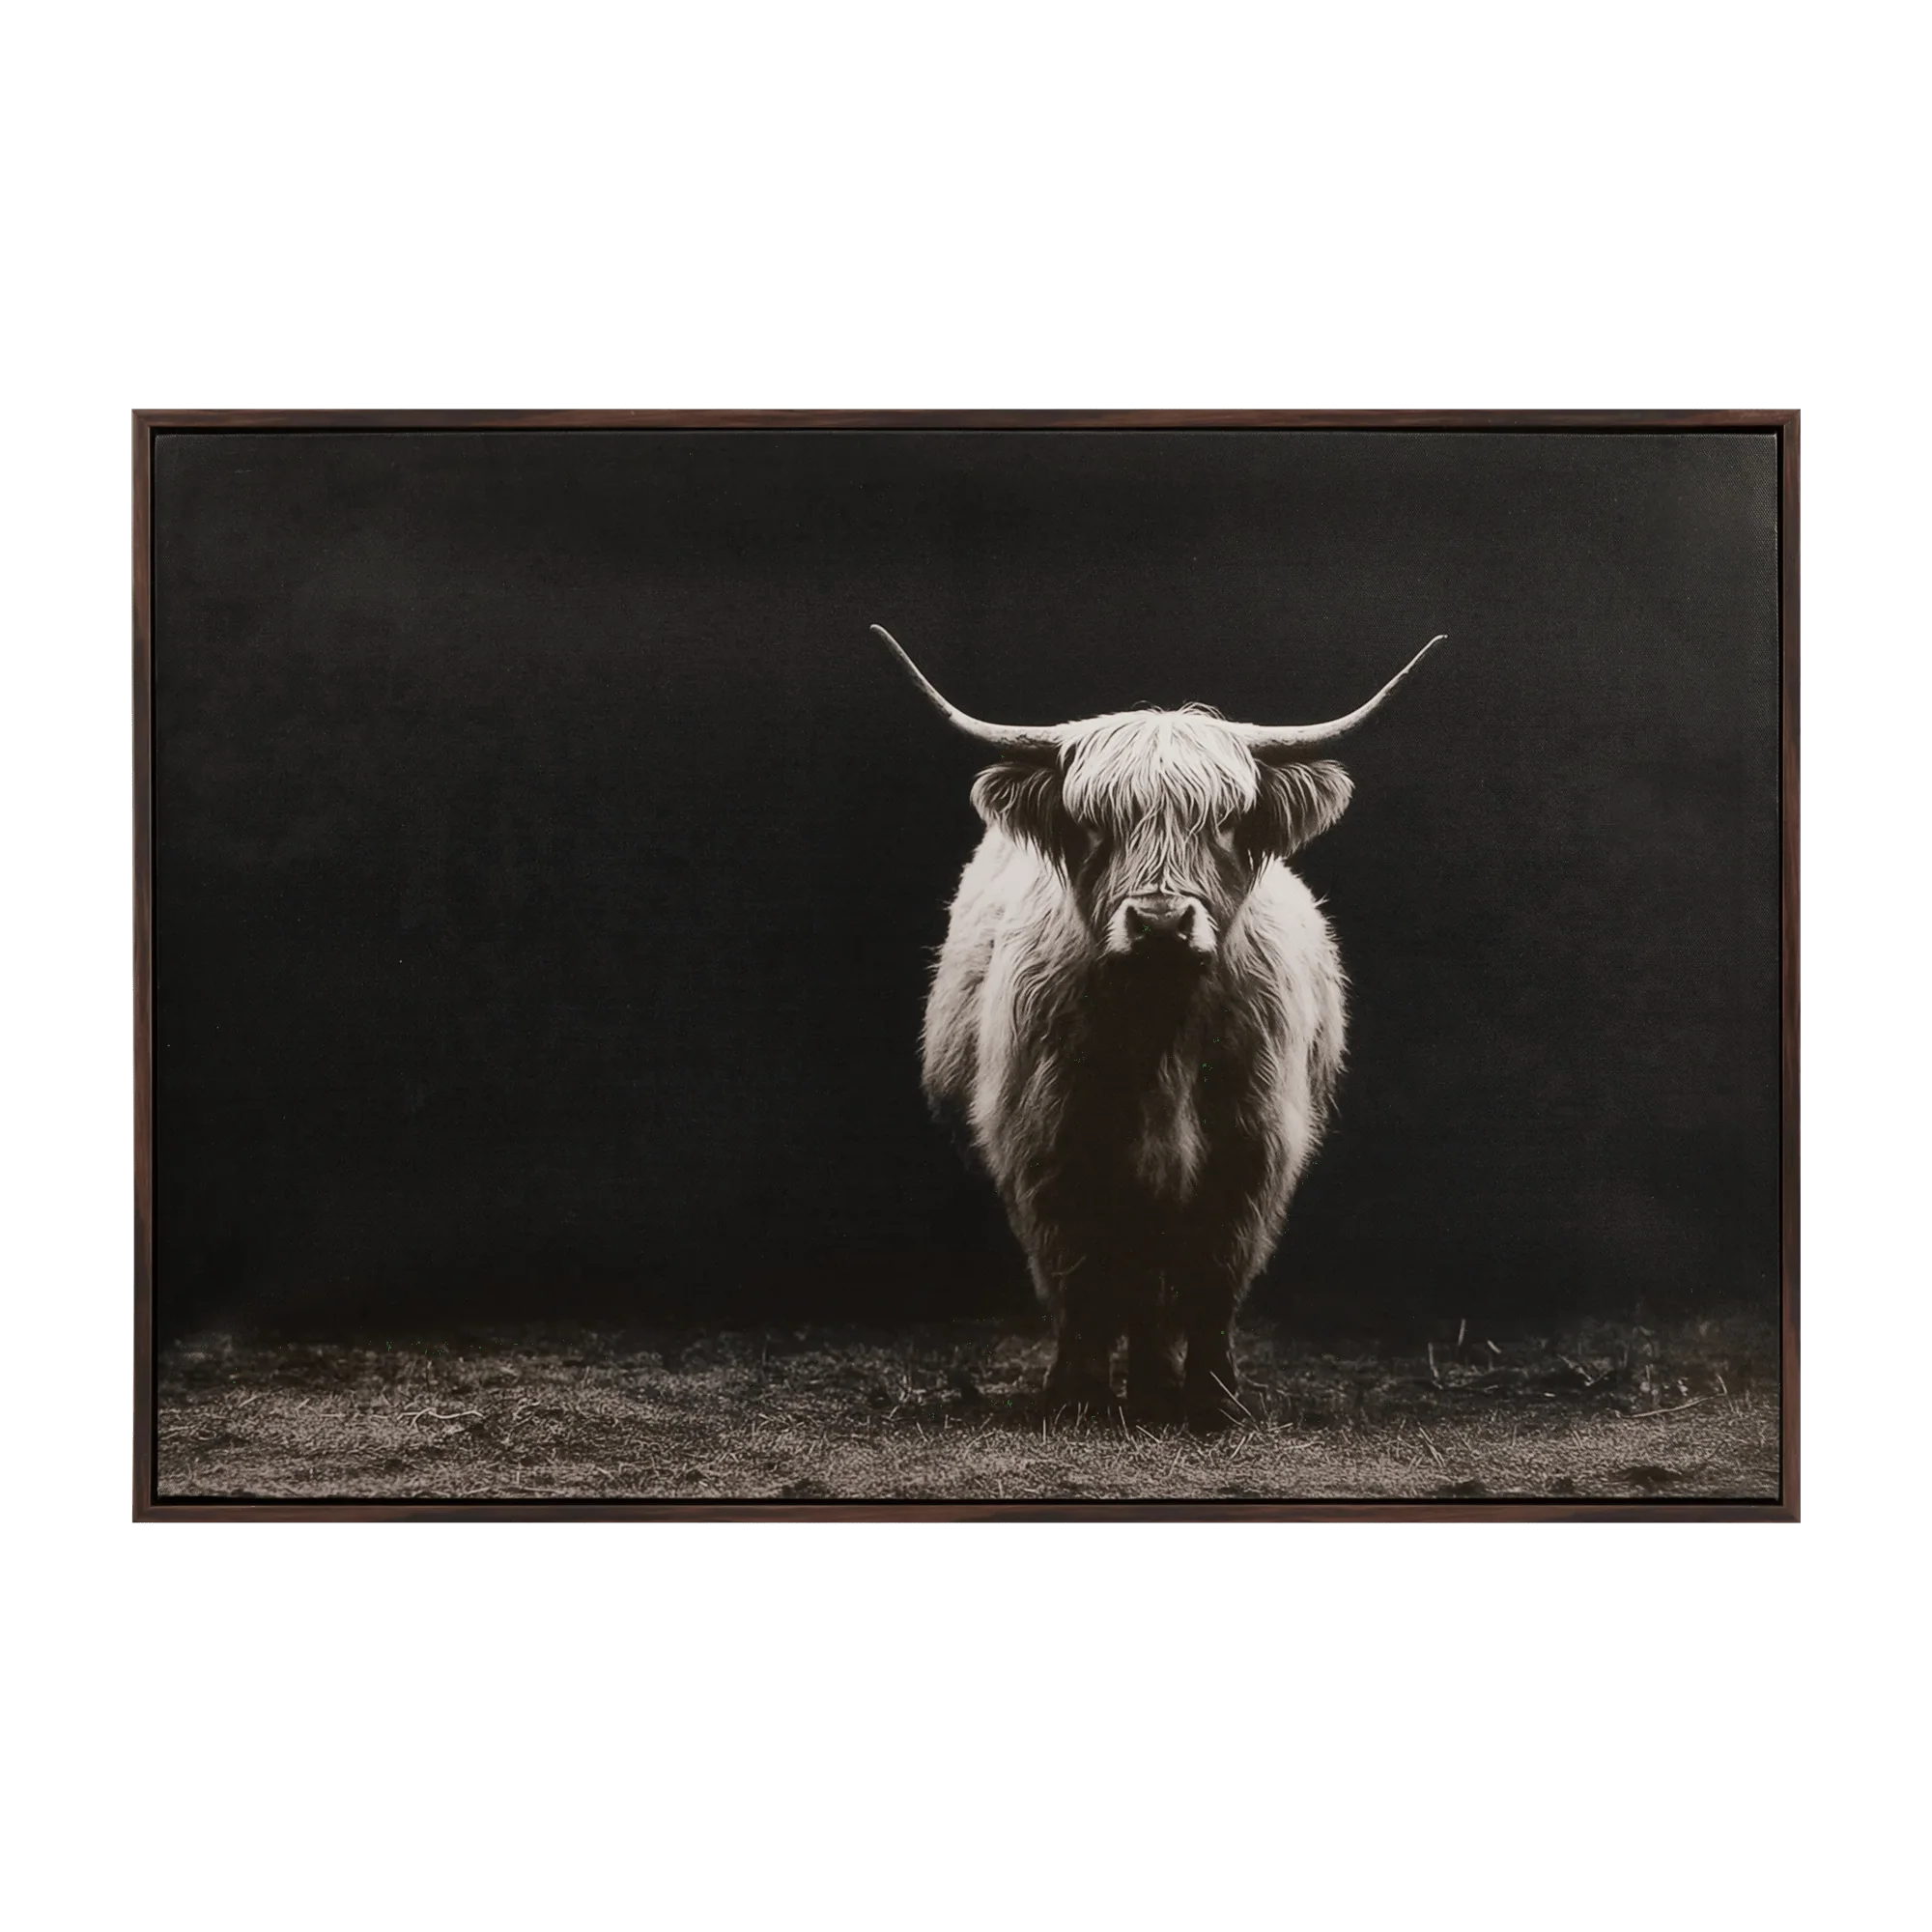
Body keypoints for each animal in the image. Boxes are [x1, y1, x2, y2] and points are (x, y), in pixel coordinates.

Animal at [873, 623, 1445, 1428]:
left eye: (1226, 822)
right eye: (1094, 824)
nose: (1161, 922)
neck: (1162, 1029)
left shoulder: (1253, 1148)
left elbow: (1214, 1279)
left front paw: (1211, 1398)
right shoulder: (1046, 1144)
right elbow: (1079, 1278)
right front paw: (1078, 1395)